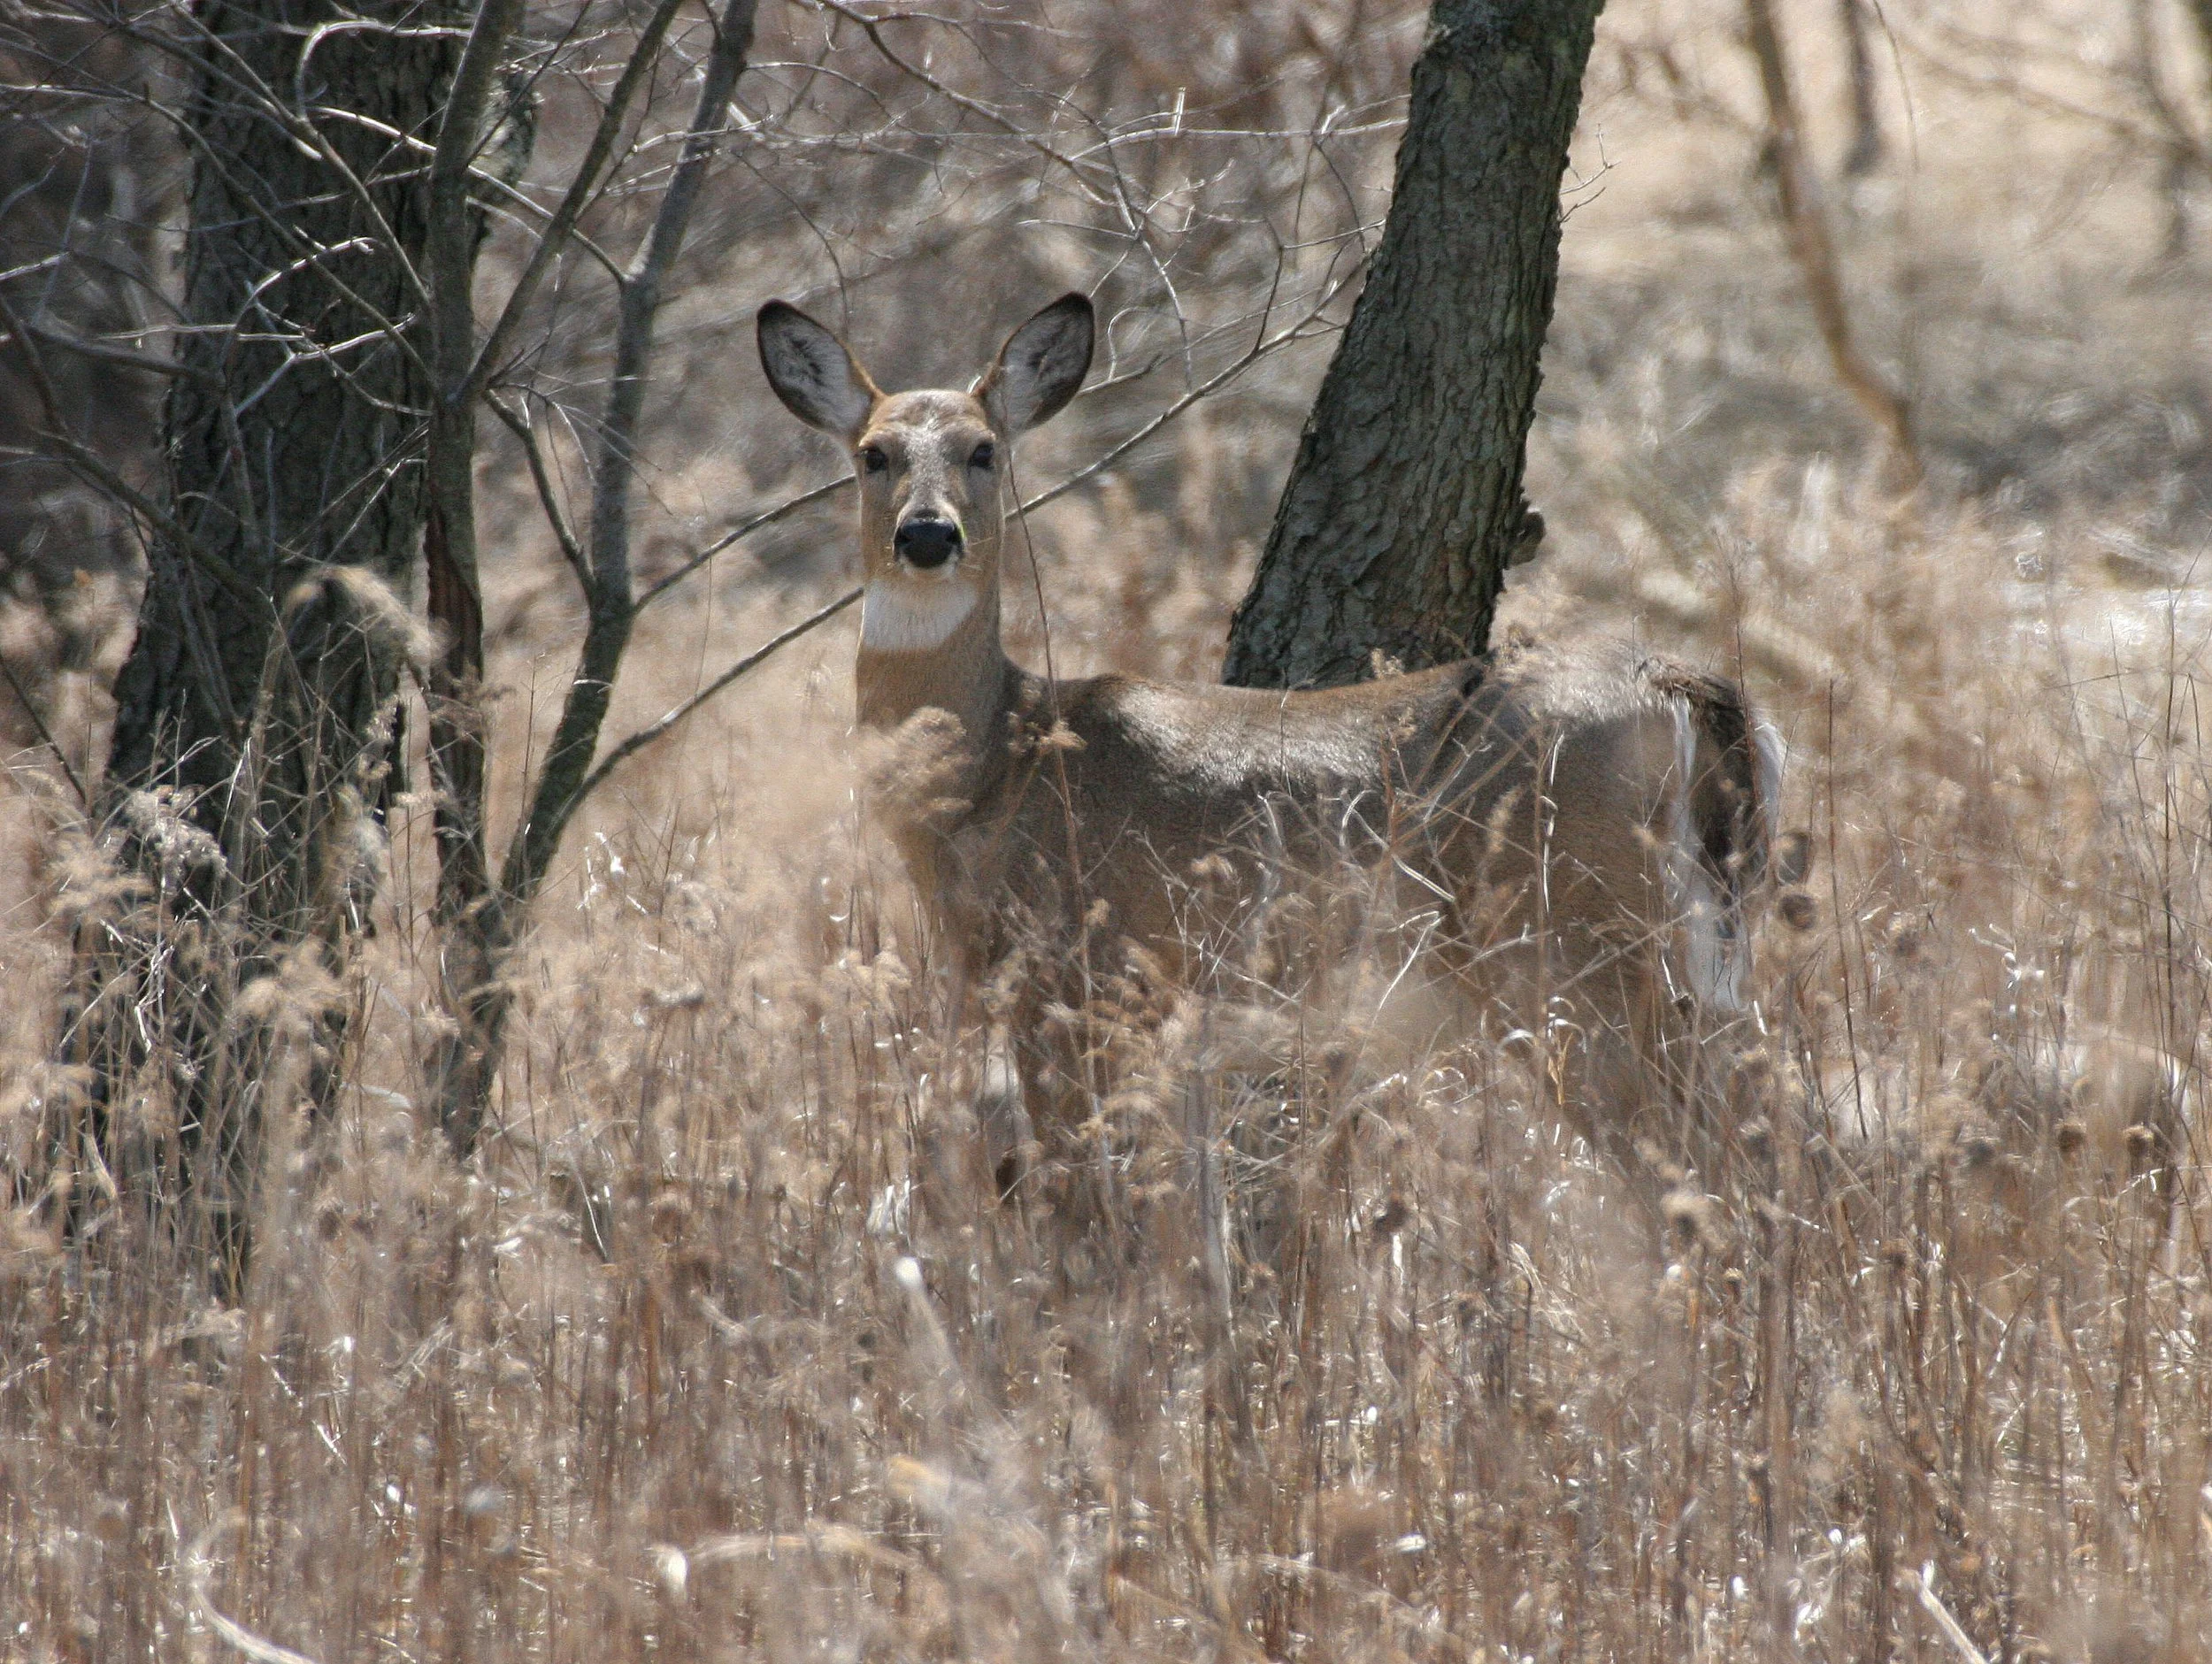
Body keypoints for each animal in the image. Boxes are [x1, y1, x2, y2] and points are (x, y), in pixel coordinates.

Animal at [757, 291, 1783, 1194]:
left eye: (984, 450)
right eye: (872, 454)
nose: (929, 535)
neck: (993, 770)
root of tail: (1674, 685)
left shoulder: (1072, 987)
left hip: (1567, 951)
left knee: (1698, 1166)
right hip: (1688, 959)